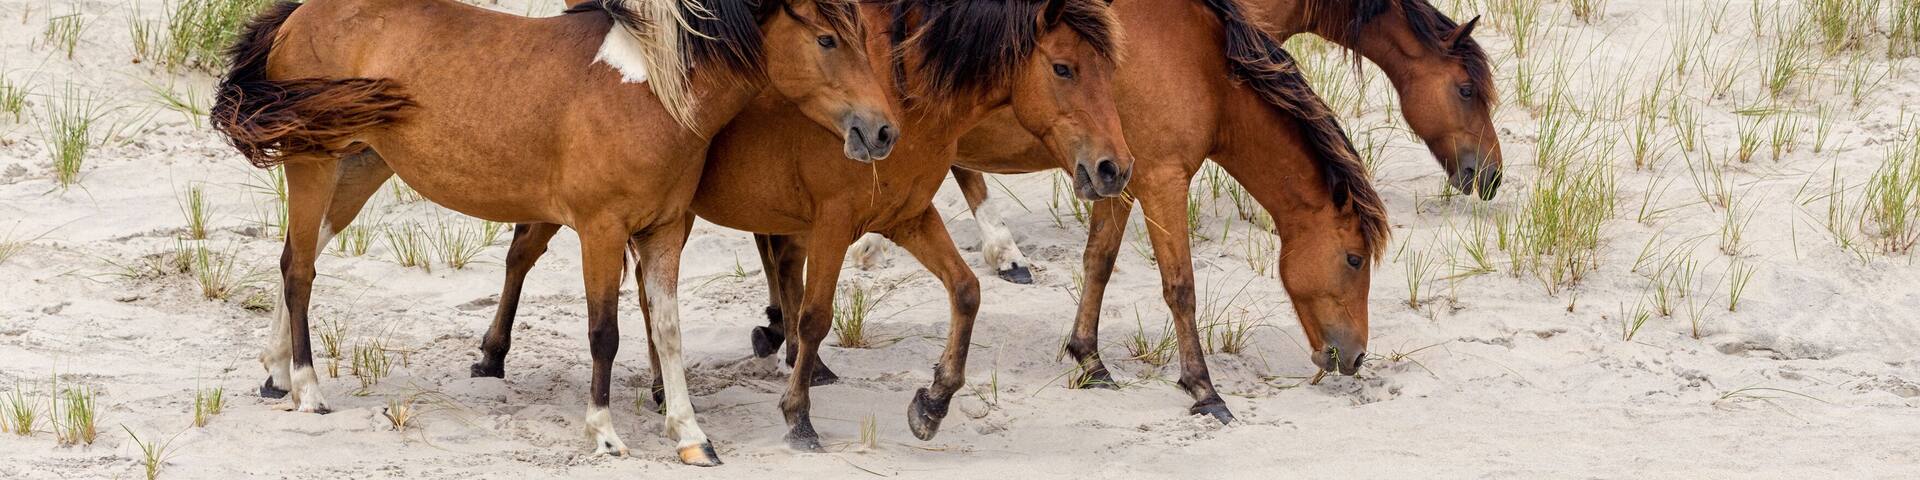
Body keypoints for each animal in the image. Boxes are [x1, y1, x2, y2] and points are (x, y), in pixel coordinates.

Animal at [211, 0, 893, 465]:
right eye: (827, 38)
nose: (882, 130)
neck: (651, 90)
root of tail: (299, 14)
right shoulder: (601, 230)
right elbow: (605, 334)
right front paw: (605, 432)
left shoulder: (665, 230)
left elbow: (668, 333)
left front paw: (691, 437)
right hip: (313, 162)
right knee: (301, 271)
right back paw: (306, 389)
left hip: (359, 165)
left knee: (293, 257)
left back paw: (274, 374)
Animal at [473, 0, 1130, 451]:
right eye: (1064, 68)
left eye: (1110, 71)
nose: (1114, 168)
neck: (905, 100)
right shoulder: (834, 221)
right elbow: (815, 316)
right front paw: (800, 414)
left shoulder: (908, 217)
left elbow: (966, 291)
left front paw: (933, 403)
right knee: (523, 252)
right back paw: (492, 356)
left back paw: (664, 390)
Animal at [757, 0, 1397, 422]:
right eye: (1353, 259)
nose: (1356, 356)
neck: (1199, 62)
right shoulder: (1162, 180)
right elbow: (1181, 287)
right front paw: (1204, 390)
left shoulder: (1119, 180)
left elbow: (1099, 263)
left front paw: (1089, 360)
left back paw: (787, 339)